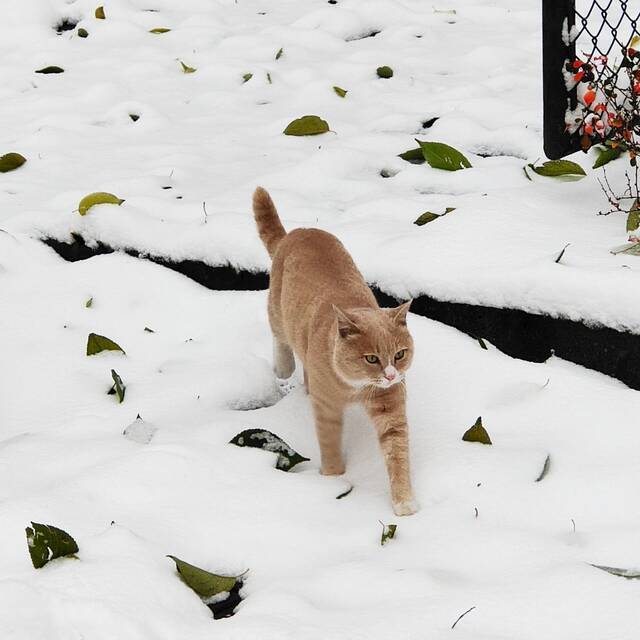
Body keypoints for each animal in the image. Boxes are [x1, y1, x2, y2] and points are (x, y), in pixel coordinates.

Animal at [252, 185, 418, 516]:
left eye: (399, 354)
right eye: (371, 358)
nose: (391, 375)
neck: (357, 388)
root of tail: (299, 231)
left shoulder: (390, 407)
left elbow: (397, 453)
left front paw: (403, 501)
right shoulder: (327, 408)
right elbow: (328, 442)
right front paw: (332, 478)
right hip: (278, 312)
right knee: (281, 340)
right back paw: (283, 366)